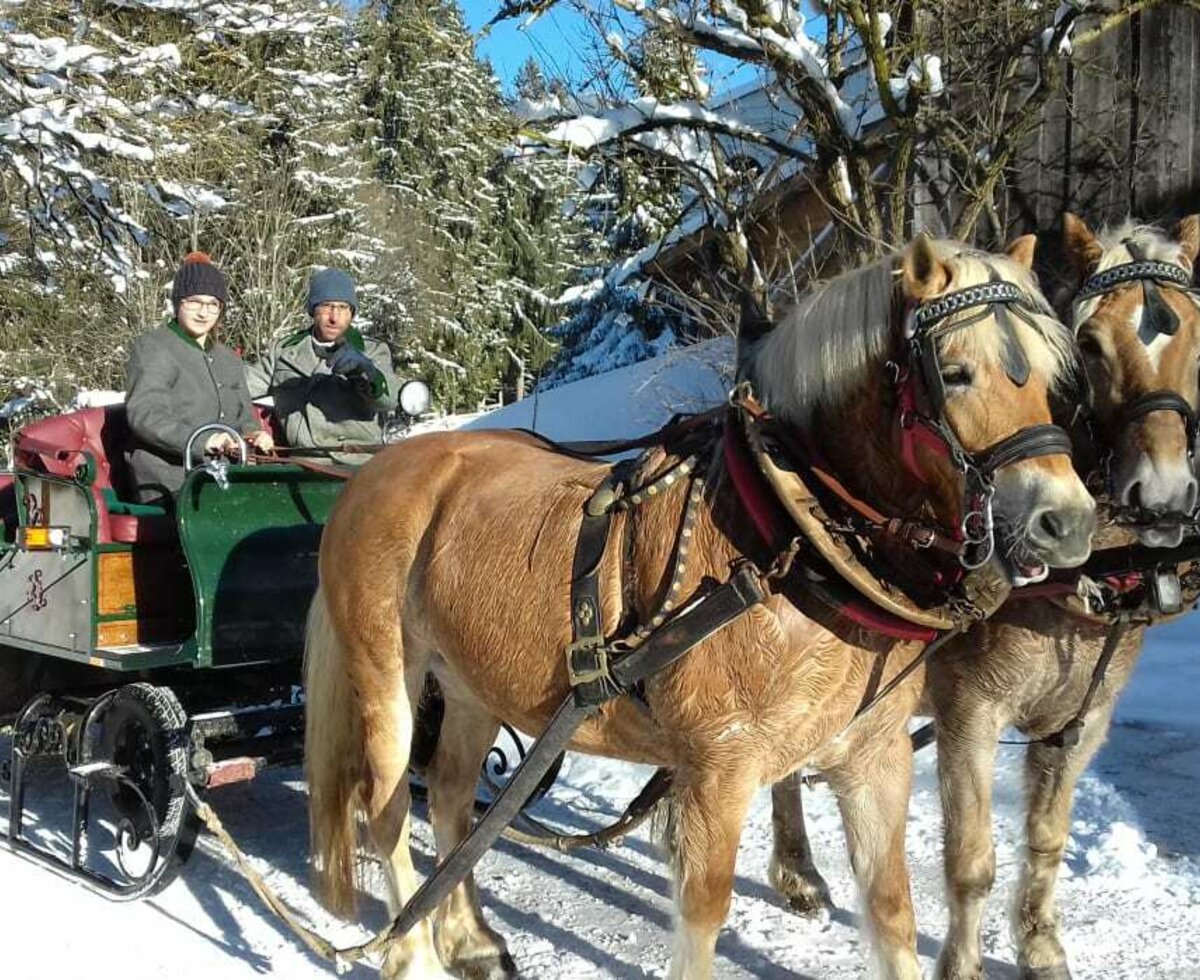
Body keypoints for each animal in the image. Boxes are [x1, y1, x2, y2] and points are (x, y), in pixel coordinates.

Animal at [302, 235, 1099, 978]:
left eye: (1052, 380)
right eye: (956, 373)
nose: (1067, 523)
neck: (790, 537)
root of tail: (373, 472)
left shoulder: (875, 756)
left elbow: (891, 910)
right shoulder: (719, 770)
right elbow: (704, 915)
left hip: (471, 685)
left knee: (452, 797)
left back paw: (469, 939)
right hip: (386, 676)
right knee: (386, 808)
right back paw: (412, 954)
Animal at [763, 213, 1200, 978]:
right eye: (1089, 346)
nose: (1165, 495)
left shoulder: (1080, 723)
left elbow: (1047, 839)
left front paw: (1041, 948)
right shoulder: (971, 715)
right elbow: (971, 862)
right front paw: (962, 964)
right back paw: (798, 872)